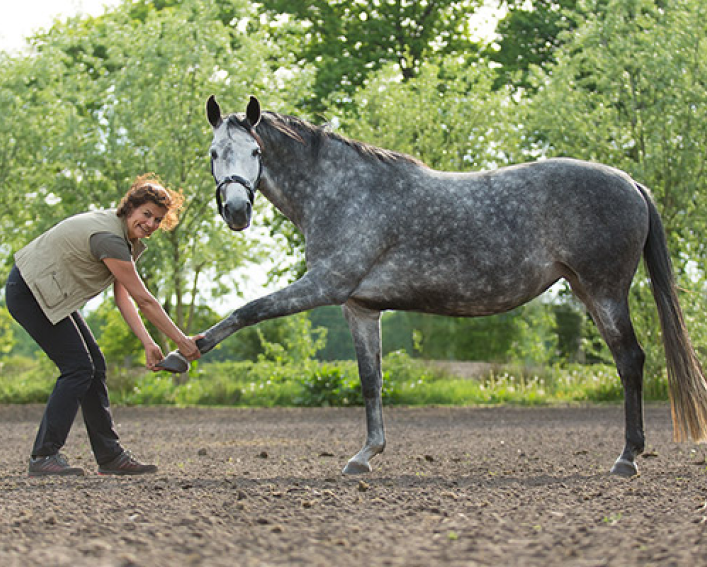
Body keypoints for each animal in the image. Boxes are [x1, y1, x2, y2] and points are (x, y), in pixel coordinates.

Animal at [159, 95, 707, 477]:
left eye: (255, 151)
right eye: (213, 152)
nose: (236, 211)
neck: (342, 192)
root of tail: (630, 182)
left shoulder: (325, 285)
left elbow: (246, 311)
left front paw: (180, 354)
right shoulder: (359, 307)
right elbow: (371, 379)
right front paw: (366, 455)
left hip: (604, 289)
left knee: (630, 360)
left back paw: (627, 458)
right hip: (590, 289)